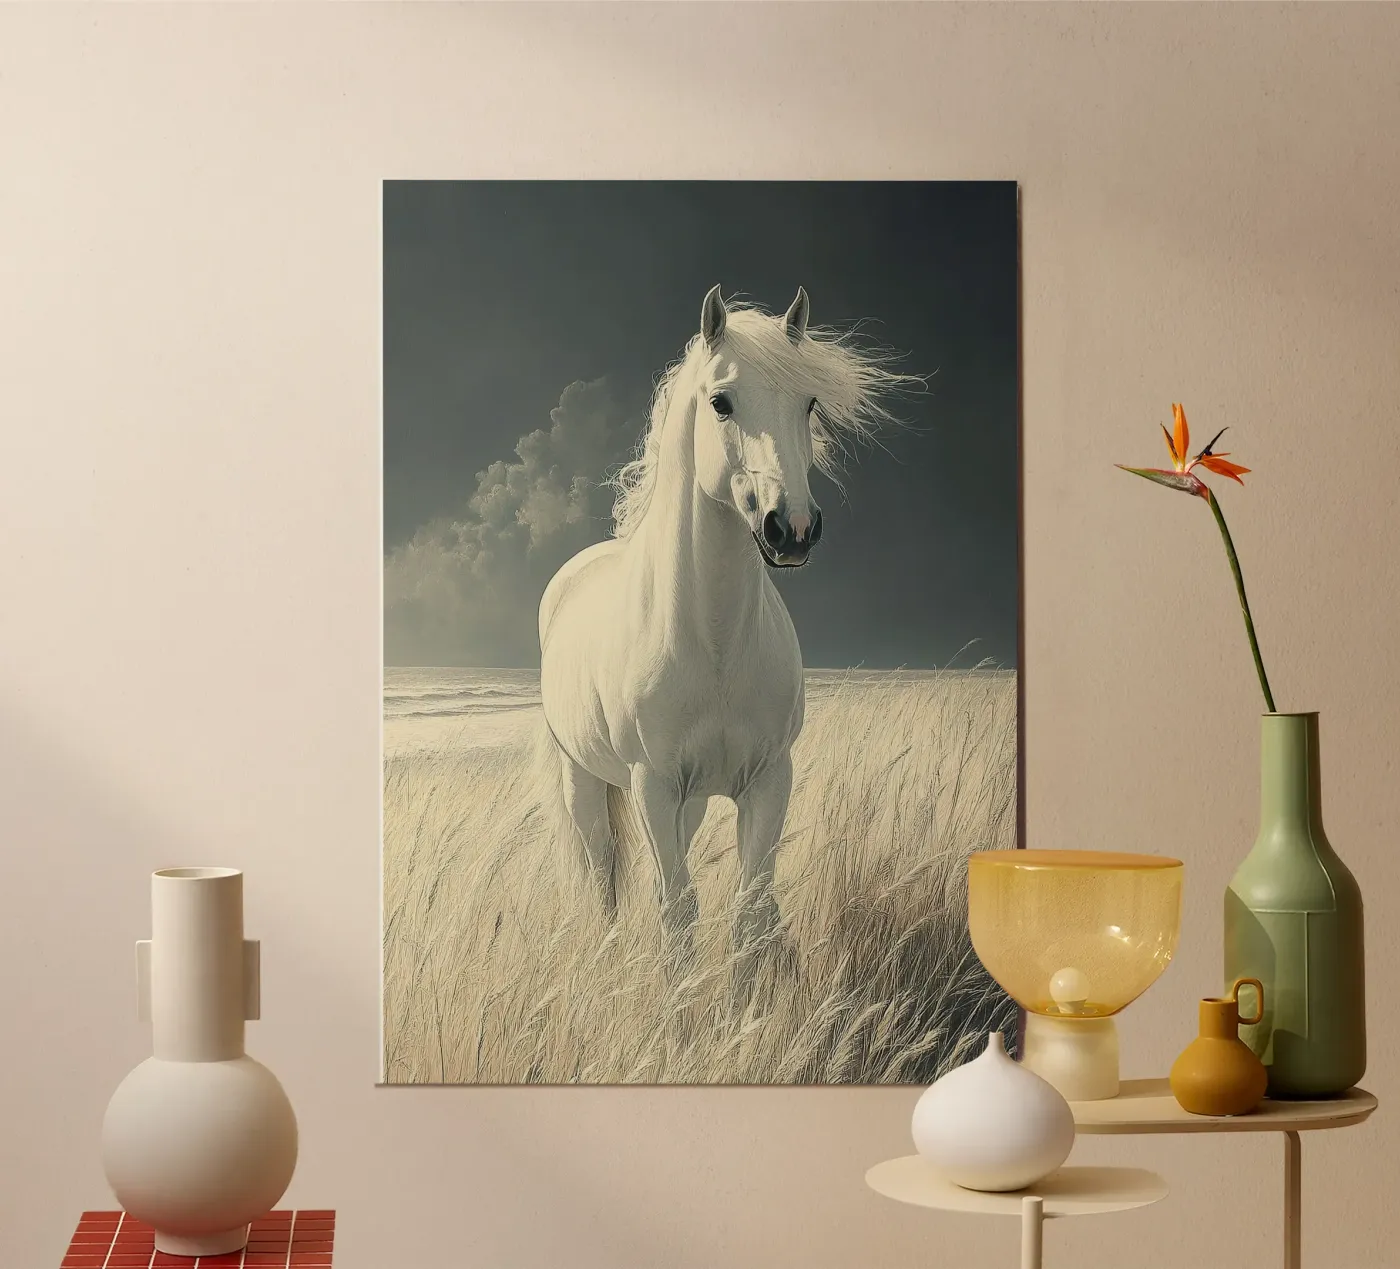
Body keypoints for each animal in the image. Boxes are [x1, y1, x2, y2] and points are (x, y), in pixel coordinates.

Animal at [538, 284, 910, 958]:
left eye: (809, 403)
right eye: (721, 402)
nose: (792, 528)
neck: (711, 644)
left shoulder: (767, 782)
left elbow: (750, 912)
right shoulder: (653, 787)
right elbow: (677, 915)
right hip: (584, 778)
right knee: (603, 873)